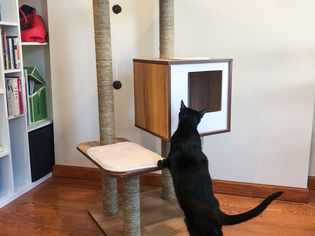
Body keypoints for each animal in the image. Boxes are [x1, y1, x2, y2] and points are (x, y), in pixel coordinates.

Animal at [158, 101, 284, 236]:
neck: (188, 129)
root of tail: (218, 213)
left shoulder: (171, 158)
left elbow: (165, 162)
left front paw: (159, 162)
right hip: (214, 228)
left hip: (194, 225)